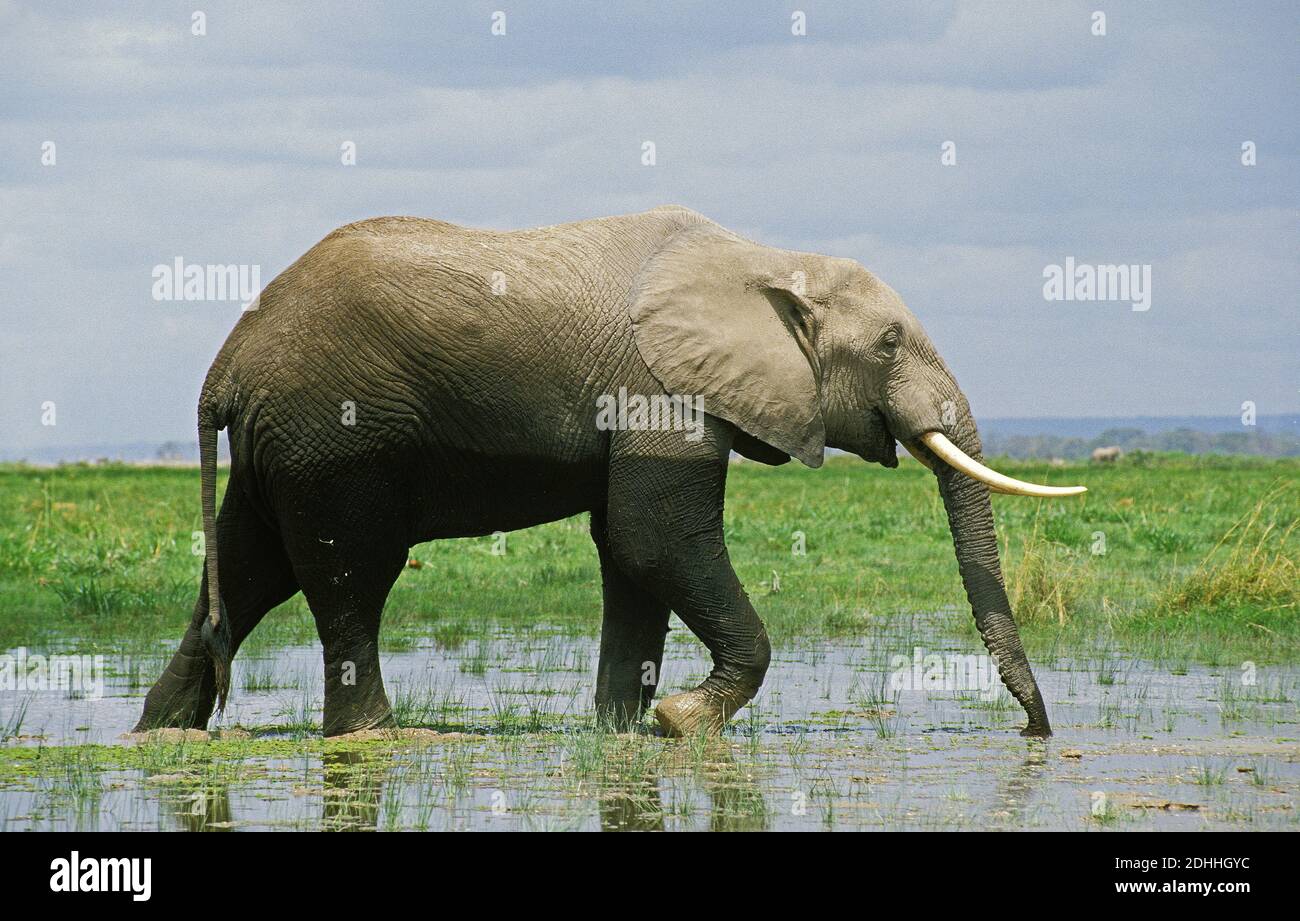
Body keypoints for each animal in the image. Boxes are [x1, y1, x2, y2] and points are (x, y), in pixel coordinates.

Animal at [134, 205, 1086, 738]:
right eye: (889, 344)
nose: (1035, 734)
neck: (762, 259)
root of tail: (227, 363)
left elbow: (629, 554)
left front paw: (622, 729)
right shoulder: (661, 392)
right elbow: (654, 537)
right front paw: (681, 723)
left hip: (285, 446)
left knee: (251, 567)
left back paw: (161, 734)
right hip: (336, 436)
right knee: (349, 573)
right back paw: (373, 739)